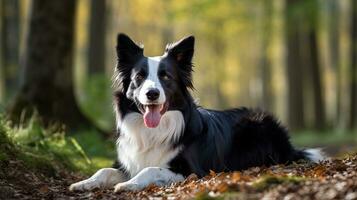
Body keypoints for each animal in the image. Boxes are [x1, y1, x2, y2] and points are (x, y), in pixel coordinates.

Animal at [69, 34, 322, 192]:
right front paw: (83, 183)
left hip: (255, 127)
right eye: (139, 77)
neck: (153, 132)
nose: (152, 93)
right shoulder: (128, 162)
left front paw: (128, 185)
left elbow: (151, 168)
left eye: (166, 77)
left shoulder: (191, 171)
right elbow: (104, 169)